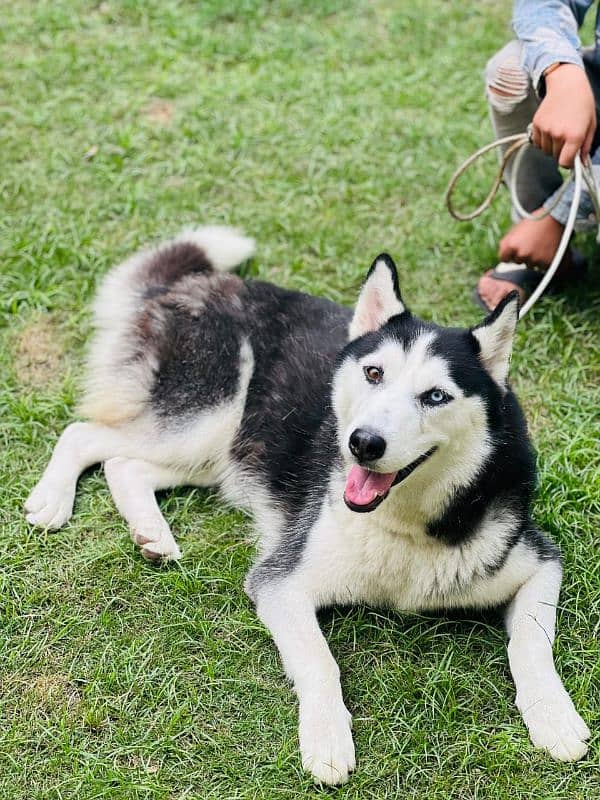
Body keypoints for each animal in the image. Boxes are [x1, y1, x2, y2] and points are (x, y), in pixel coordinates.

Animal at [24, 228, 592, 784]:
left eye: (435, 396)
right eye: (374, 374)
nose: (363, 443)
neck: (403, 525)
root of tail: (201, 283)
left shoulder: (540, 561)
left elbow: (531, 644)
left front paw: (554, 717)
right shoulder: (280, 582)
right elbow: (322, 662)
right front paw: (326, 738)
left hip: (224, 448)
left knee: (125, 464)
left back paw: (152, 534)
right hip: (206, 419)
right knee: (84, 435)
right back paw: (53, 501)